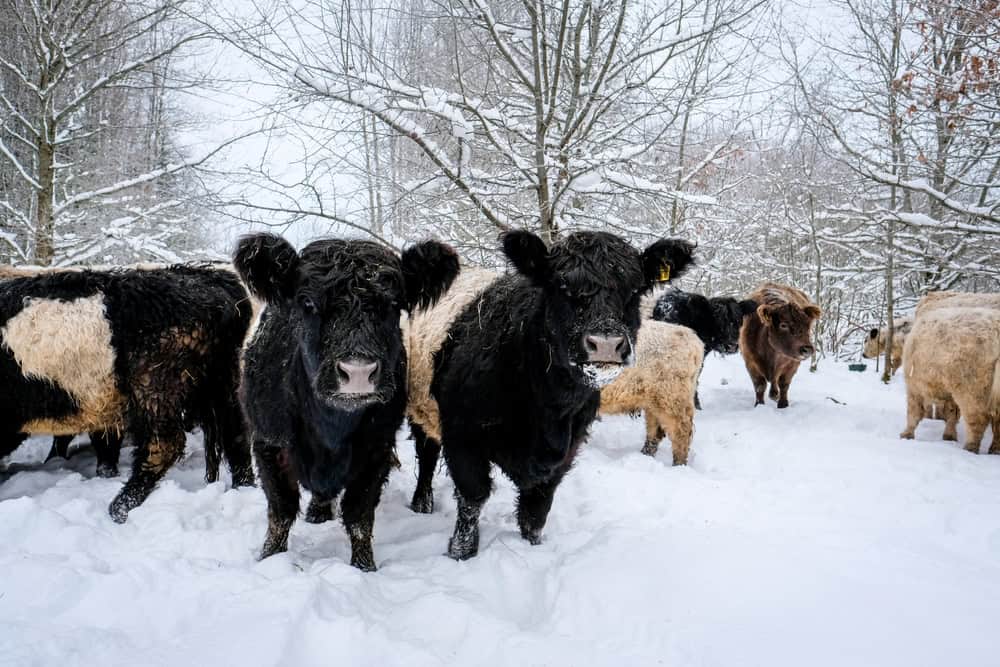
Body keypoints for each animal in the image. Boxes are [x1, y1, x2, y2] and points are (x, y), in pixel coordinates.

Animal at [0, 265, 254, 521]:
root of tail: (212, 278)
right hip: (222, 381)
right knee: (236, 436)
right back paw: (243, 488)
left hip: (154, 384)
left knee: (164, 445)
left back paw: (120, 508)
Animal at [234, 233, 459, 571]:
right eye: (307, 302)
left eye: (394, 304)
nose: (358, 372)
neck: (330, 432)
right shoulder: (269, 444)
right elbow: (281, 512)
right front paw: (270, 558)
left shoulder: (376, 450)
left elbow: (359, 516)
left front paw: (364, 567)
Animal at [425, 230, 694, 560]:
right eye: (563, 287)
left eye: (635, 289)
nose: (606, 343)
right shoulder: (462, 437)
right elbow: (473, 499)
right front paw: (460, 555)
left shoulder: (565, 450)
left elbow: (535, 512)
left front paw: (531, 547)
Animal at [900, 306, 1000, 454]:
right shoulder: (948, 390)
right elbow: (952, 413)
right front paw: (949, 436)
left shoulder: (914, 386)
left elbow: (914, 412)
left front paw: (907, 434)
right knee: (998, 420)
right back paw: (995, 449)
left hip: (972, 389)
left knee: (978, 418)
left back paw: (970, 447)